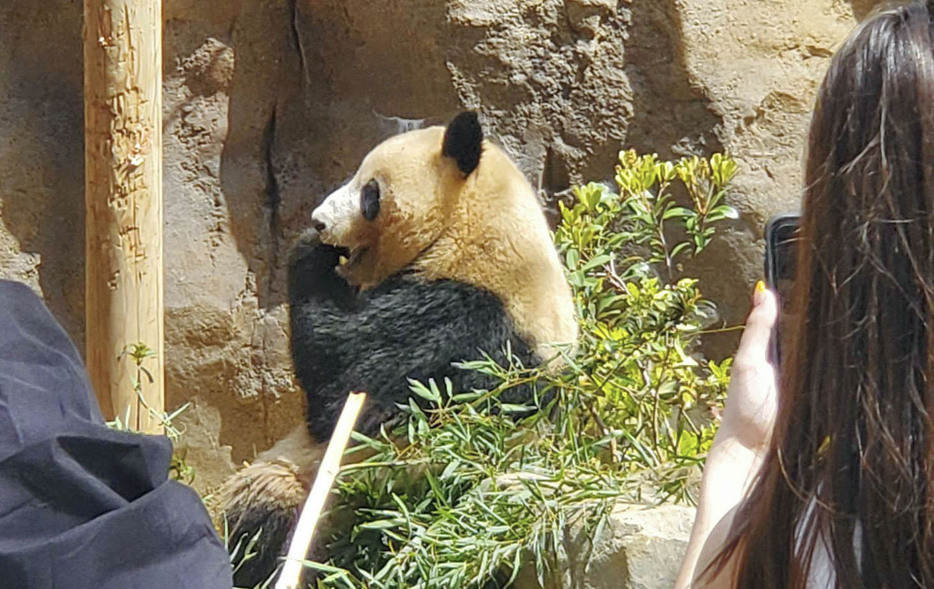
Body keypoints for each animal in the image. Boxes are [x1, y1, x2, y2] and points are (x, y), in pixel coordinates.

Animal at [221, 110, 576, 584]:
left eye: (369, 191)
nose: (319, 221)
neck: (473, 234)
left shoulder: (463, 323)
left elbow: (347, 390)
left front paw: (311, 250)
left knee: (267, 511)